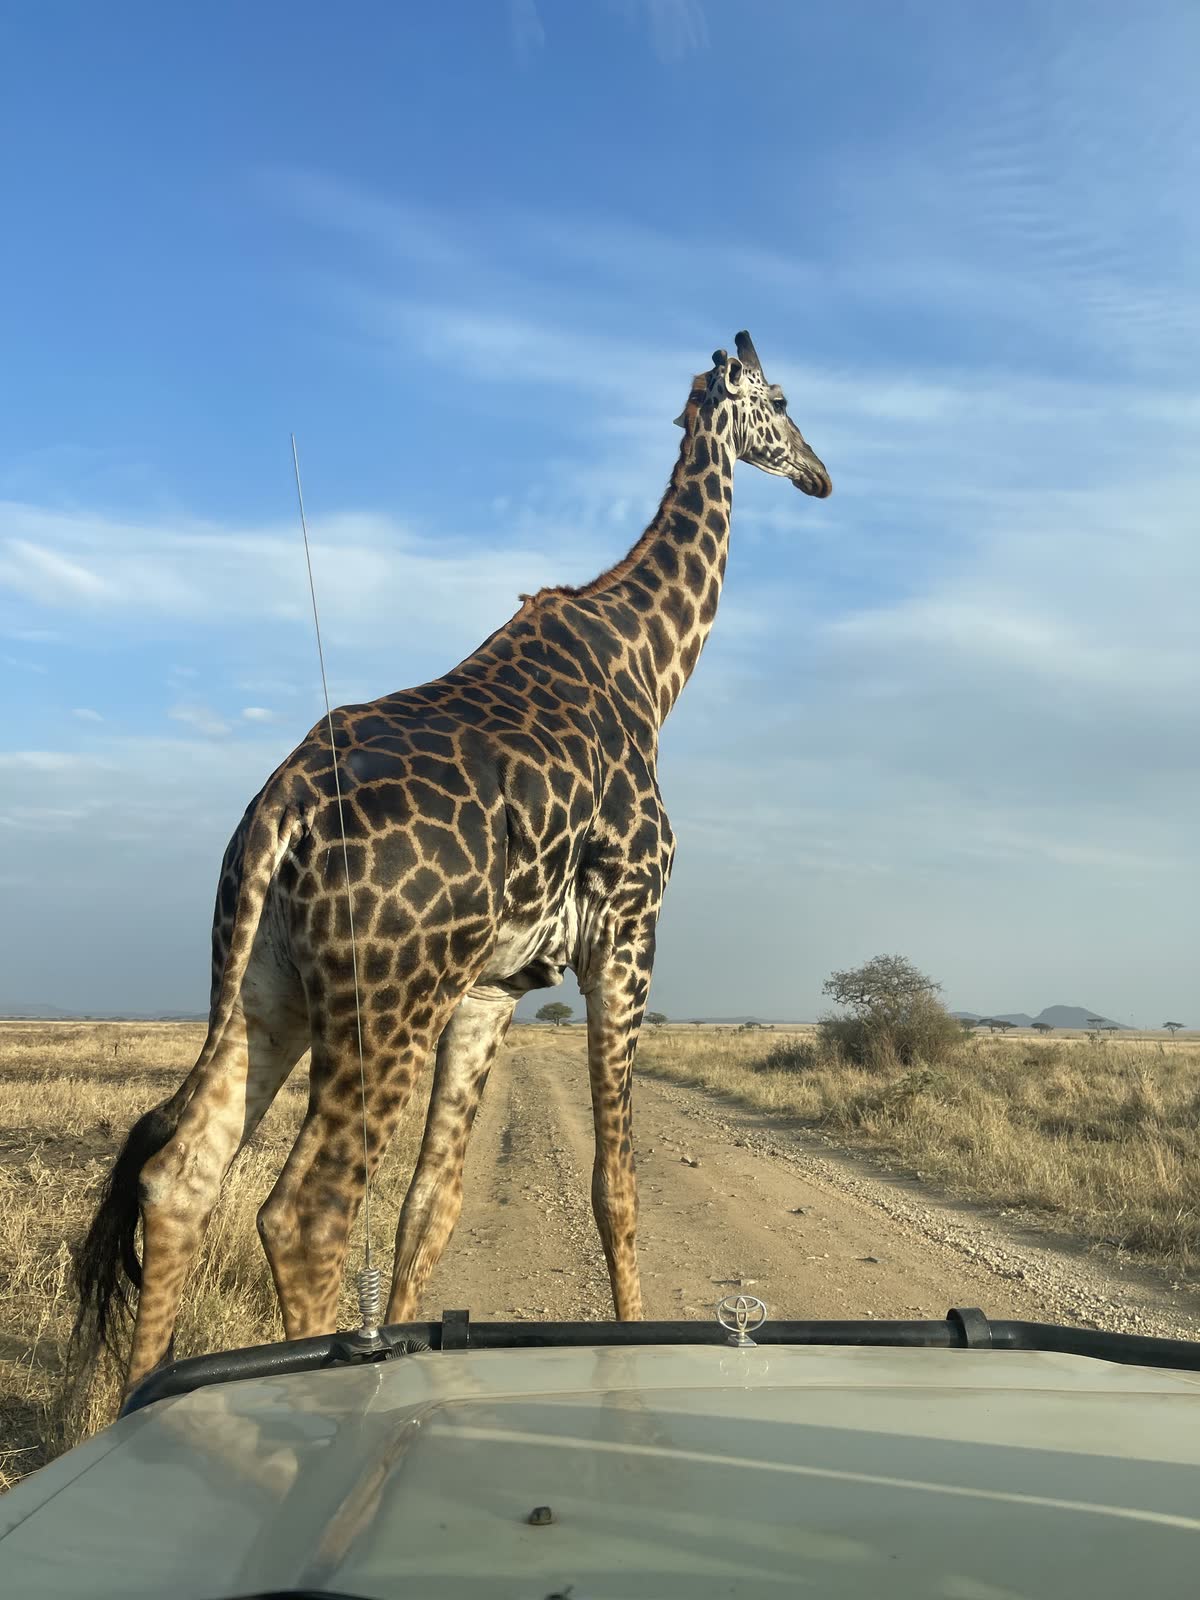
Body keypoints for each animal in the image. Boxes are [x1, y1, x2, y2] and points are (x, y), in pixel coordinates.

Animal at [72, 330, 831, 1396]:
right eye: (785, 400)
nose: (819, 474)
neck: (649, 666)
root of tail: (279, 814)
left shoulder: (494, 987)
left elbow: (433, 1204)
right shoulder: (628, 933)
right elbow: (616, 1183)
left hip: (267, 987)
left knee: (181, 1177)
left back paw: (145, 1399)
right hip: (383, 1002)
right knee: (304, 1213)